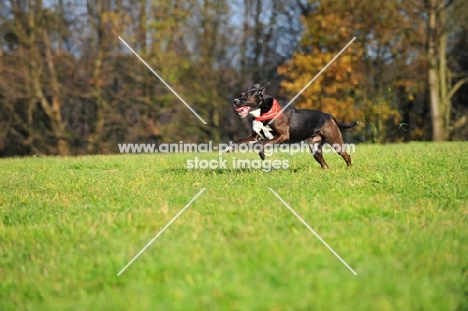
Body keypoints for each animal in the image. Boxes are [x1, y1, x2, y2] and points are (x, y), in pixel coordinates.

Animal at [225, 83, 356, 169]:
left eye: (246, 97)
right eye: (240, 95)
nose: (235, 101)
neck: (263, 112)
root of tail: (329, 116)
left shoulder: (282, 135)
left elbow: (262, 144)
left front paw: (262, 155)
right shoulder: (255, 136)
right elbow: (239, 141)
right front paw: (229, 148)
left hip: (335, 141)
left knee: (346, 155)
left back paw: (349, 168)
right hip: (315, 148)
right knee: (324, 163)